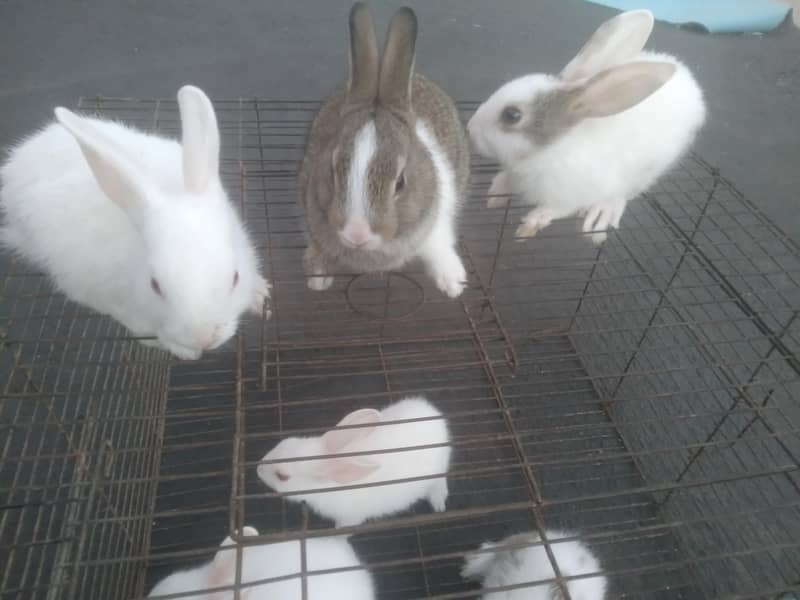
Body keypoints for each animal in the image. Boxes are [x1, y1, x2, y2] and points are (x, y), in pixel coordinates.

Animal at [0, 85, 270, 360]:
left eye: (235, 277)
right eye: (155, 285)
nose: (203, 338)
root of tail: (18, 160)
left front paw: (260, 295)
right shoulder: (113, 300)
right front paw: (182, 351)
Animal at [257, 395, 451, 527]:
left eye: (282, 476)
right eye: (284, 442)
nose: (258, 468)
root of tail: (435, 416)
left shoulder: (350, 519)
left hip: (437, 470)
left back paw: (438, 504)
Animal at [298, 3, 470, 298]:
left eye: (400, 183)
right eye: (332, 171)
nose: (357, 234)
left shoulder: (438, 221)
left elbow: (440, 246)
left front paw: (454, 284)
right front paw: (318, 277)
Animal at [467, 9, 706, 244]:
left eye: (512, 115)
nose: (470, 128)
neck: (549, 150)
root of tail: (688, 81)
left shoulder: (571, 195)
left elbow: (557, 209)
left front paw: (533, 221)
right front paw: (495, 193)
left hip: (646, 172)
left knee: (623, 194)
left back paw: (602, 213)